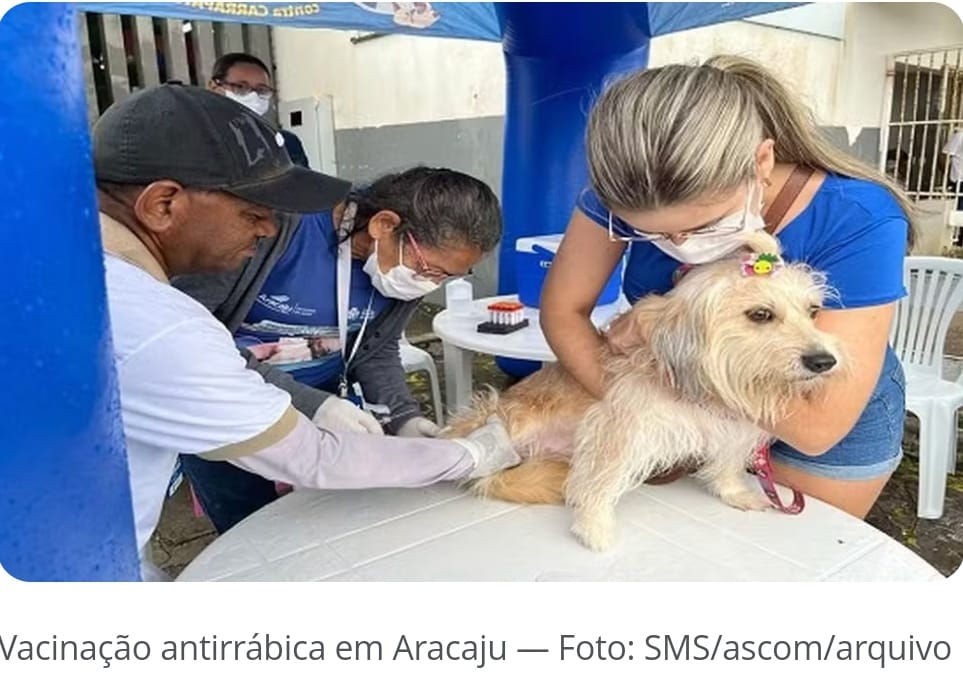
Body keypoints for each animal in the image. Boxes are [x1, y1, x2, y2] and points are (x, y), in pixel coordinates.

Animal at [442, 232, 844, 548]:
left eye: (813, 311)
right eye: (760, 314)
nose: (824, 362)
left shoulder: (732, 426)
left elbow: (727, 462)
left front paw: (735, 492)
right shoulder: (619, 425)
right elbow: (601, 478)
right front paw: (593, 526)